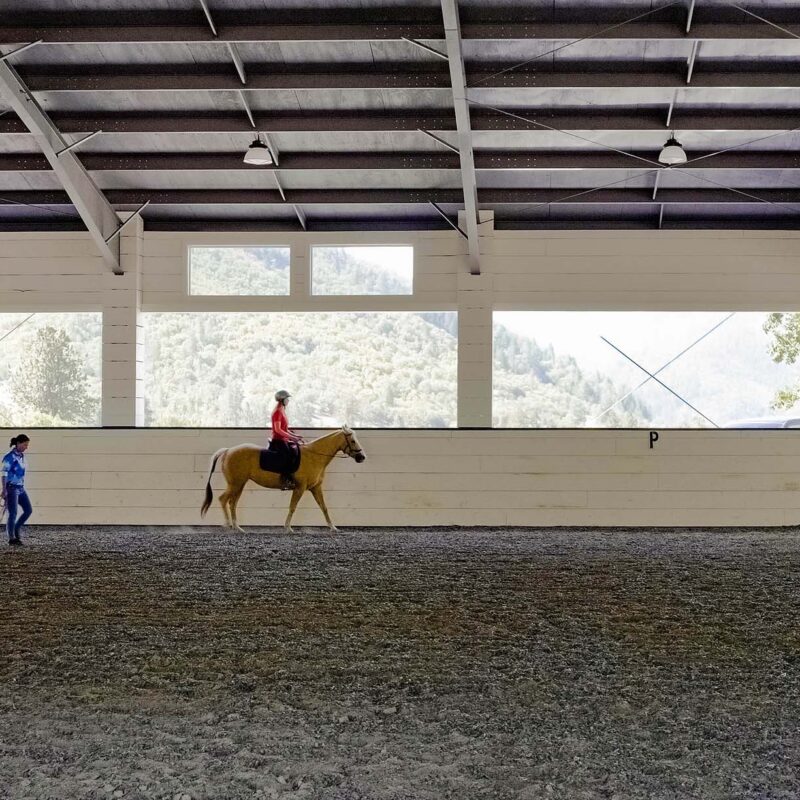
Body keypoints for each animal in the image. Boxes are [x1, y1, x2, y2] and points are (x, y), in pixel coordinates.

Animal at [200, 428, 366, 536]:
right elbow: (292, 507)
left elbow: (324, 507)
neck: (314, 456)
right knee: (223, 499)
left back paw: (238, 527)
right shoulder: (300, 488)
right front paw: (288, 528)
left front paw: (333, 528)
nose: (362, 457)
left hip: (239, 485)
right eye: (352, 440)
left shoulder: (316, 488)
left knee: (232, 503)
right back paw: (228, 524)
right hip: (235, 484)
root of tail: (228, 450)